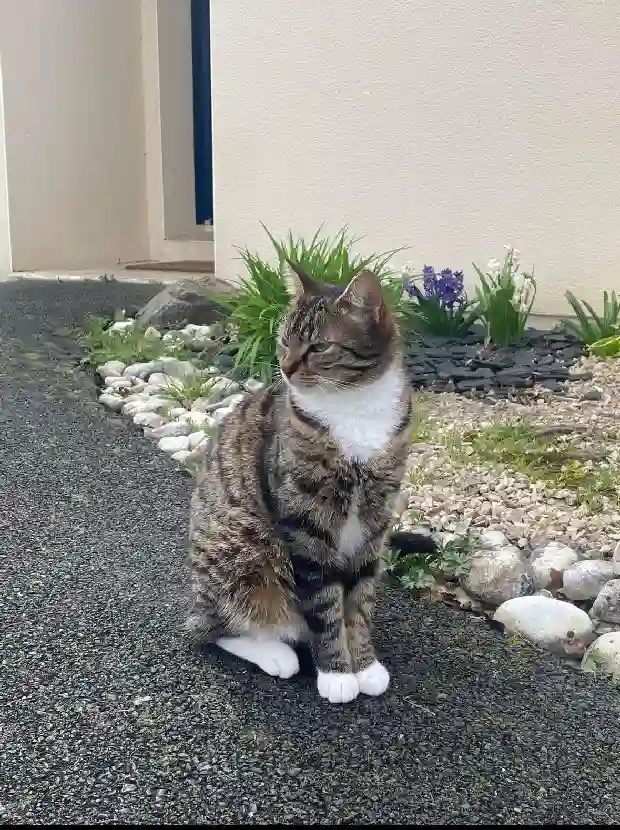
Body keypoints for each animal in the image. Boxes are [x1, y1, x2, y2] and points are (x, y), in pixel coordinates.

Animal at [185, 260, 436, 704]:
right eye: (284, 341)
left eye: (319, 348)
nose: (285, 368)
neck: (353, 407)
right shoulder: (306, 522)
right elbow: (324, 603)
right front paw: (336, 673)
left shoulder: (376, 520)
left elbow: (360, 601)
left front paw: (364, 665)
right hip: (245, 553)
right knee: (214, 629)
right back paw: (276, 654)